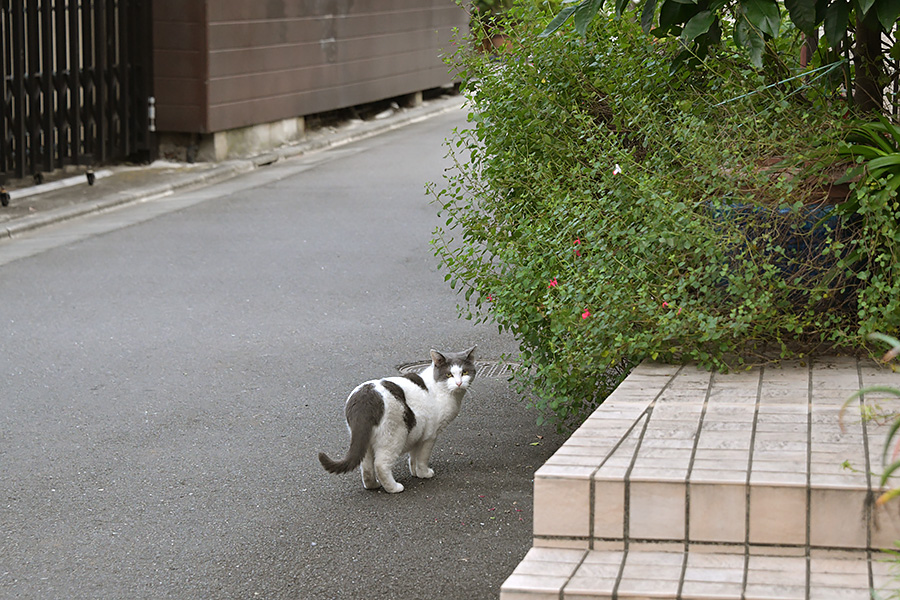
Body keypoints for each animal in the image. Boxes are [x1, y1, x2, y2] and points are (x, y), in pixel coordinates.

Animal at [318, 344, 478, 494]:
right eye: (449, 374)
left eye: (464, 372)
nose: (459, 383)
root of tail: (366, 397)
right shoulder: (430, 435)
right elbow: (422, 458)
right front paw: (424, 473)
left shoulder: (419, 432)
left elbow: (413, 456)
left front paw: (415, 473)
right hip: (394, 436)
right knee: (381, 465)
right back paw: (394, 488)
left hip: (366, 441)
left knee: (366, 467)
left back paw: (373, 485)